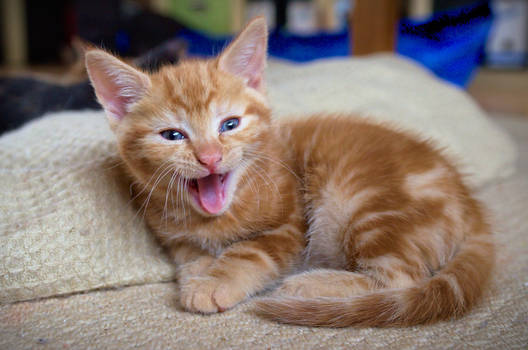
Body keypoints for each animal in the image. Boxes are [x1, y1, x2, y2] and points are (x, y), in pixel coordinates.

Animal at [86, 17, 496, 326]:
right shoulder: (177, 238)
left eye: (229, 124)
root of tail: (468, 202)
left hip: (369, 206)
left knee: (399, 279)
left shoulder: (288, 225)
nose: (210, 157)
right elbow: (191, 256)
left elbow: (249, 252)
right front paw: (198, 275)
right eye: (172, 135)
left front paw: (215, 281)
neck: (211, 219)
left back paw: (311, 286)